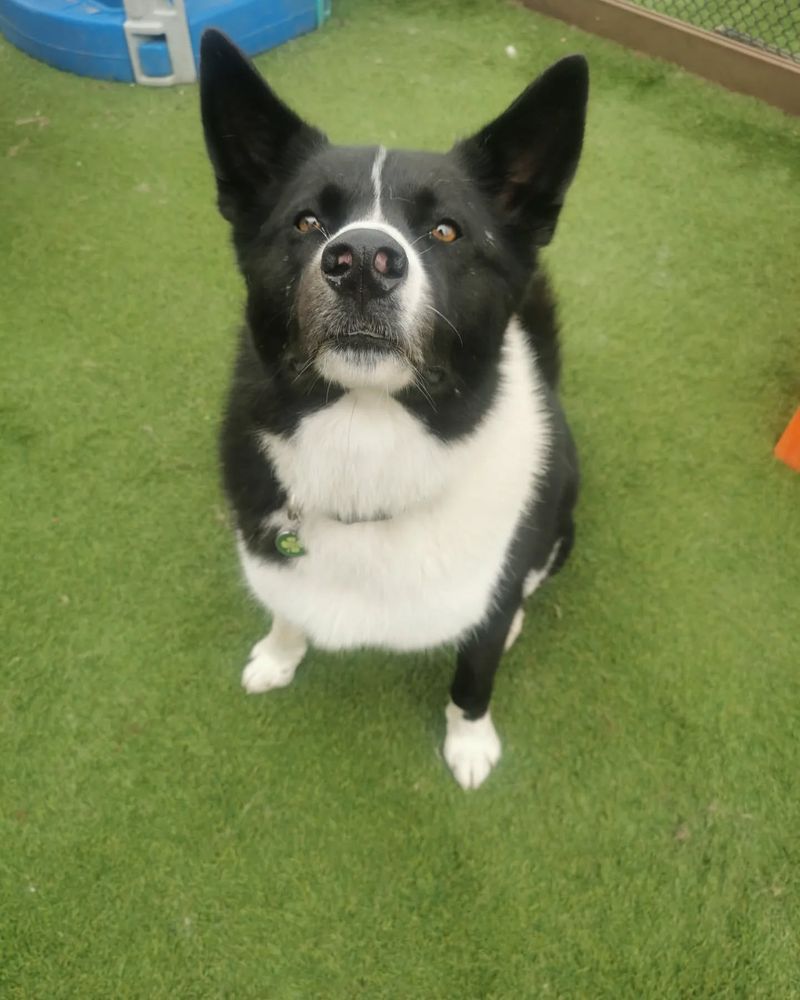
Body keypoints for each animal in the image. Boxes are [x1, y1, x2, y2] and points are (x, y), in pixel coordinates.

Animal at [200, 29, 588, 788]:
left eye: (446, 231)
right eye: (307, 221)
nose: (360, 260)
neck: (366, 439)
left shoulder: (489, 601)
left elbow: (474, 674)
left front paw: (470, 744)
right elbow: (286, 603)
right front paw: (278, 655)